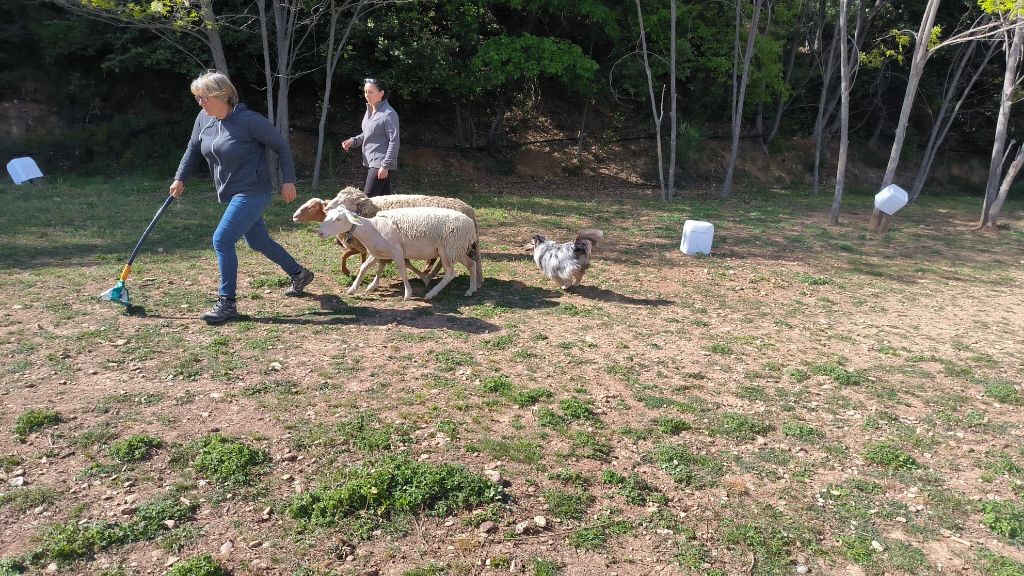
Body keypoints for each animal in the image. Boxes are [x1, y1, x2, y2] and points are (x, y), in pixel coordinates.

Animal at [319, 206, 479, 301]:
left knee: (450, 273)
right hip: (457, 249)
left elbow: (402, 270)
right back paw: (471, 289)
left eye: (338, 219)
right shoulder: (378, 252)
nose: (320, 233)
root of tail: (470, 225)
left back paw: (431, 293)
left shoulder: (397, 251)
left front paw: (408, 294)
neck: (372, 229)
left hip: (447, 249)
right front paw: (354, 289)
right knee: (471, 264)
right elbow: (364, 268)